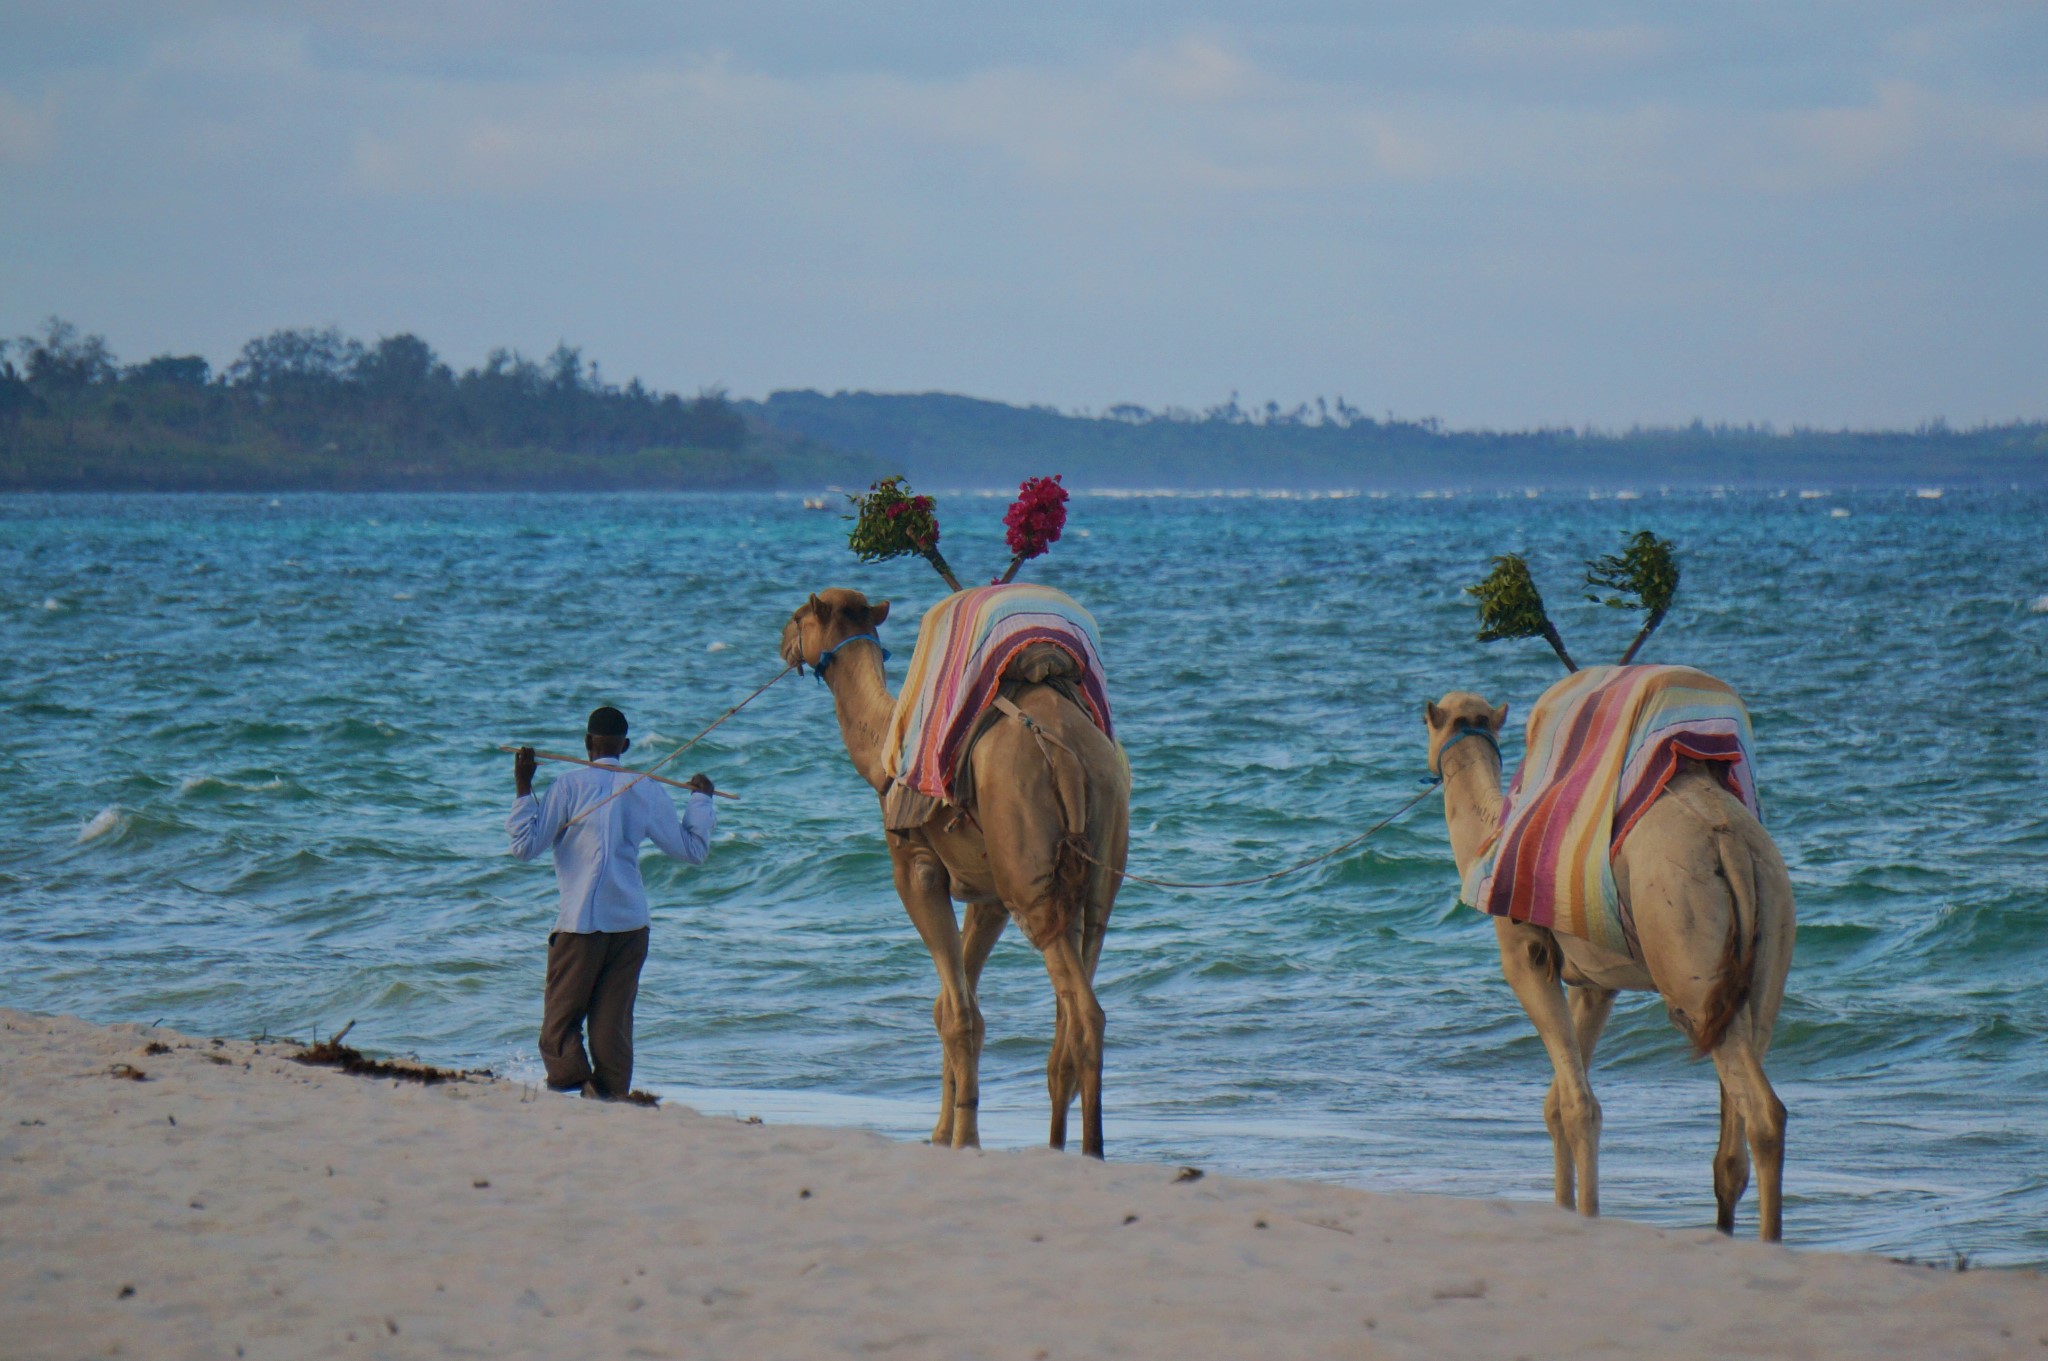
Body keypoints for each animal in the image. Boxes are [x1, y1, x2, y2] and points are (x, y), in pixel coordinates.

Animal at [782, 585, 1138, 1154]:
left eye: (799, 616)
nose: (782, 642)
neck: (883, 751)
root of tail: (1066, 754)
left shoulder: (918, 872)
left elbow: (959, 1014)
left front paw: (963, 1137)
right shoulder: (988, 894)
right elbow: (954, 1004)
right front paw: (942, 1129)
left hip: (1029, 878)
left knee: (1084, 1014)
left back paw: (1087, 1150)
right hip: (1096, 868)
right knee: (1075, 1001)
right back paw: (1059, 1145)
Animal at [1425, 691, 1794, 1244]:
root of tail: (1727, 839)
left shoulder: (1525, 958)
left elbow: (1580, 1105)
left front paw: (1585, 1215)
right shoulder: (1595, 985)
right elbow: (1557, 1103)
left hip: (1686, 948)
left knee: (1761, 1111)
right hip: (1769, 940)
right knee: (1738, 1134)